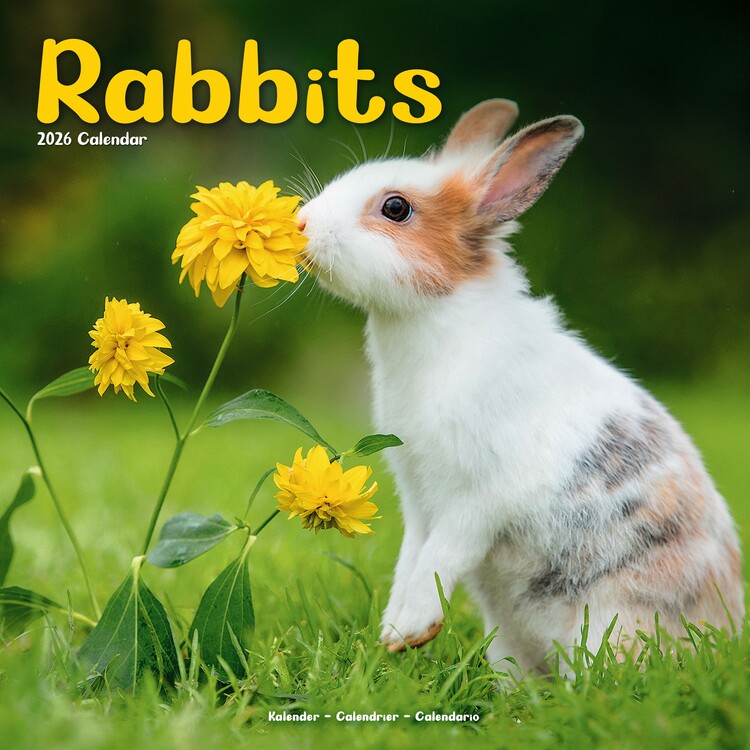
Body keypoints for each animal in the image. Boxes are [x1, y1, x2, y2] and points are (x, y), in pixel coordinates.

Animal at [296, 99, 744, 673]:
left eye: (395, 208)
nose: (302, 224)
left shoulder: (476, 497)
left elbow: (441, 555)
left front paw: (407, 630)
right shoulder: (417, 497)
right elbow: (412, 556)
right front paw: (395, 632)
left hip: (611, 619)